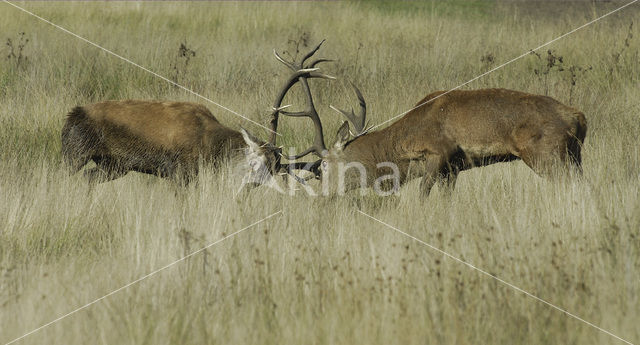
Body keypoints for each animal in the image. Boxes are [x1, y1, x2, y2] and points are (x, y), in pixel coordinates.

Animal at [268, 44, 588, 195]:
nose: (321, 195)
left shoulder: (439, 152)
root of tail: (578, 116)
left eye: (323, 166)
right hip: (575, 156)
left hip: (547, 155)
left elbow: (422, 193)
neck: (401, 147)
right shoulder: (454, 168)